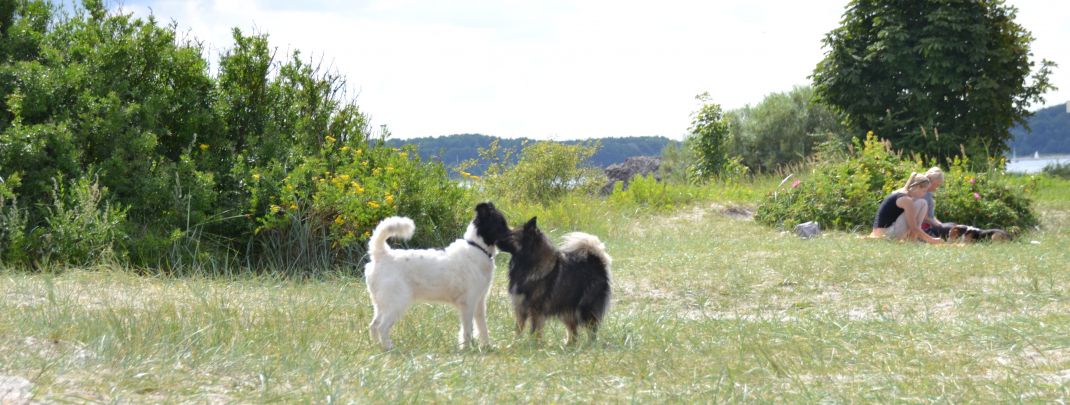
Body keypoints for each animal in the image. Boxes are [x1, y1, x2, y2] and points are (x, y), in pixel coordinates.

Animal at [365, 203, 511, 352]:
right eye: (500, 224)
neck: (478, 248)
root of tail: (382, 254)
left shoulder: (480, 301)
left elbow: (482, 327)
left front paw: (486, 346)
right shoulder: (468, 303)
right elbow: (467, 330)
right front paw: (466, 349)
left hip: (382, 304)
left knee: (374, 325)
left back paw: (377, 347)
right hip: (396, 302)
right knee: (382, 327)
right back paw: (389, 348)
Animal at [494, 216, 612, 344]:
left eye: (511, 236)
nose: (494, 241)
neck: (529, 263)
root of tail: (597, 264)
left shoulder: (536, 310)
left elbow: (534, 331)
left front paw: (533, 345)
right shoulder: (520, 307)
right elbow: (518, 329)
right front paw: (515, 343)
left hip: (585, 309)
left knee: (591, 331)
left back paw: (589, 344)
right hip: (566, 309)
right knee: (573, 332)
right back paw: (568, 344)